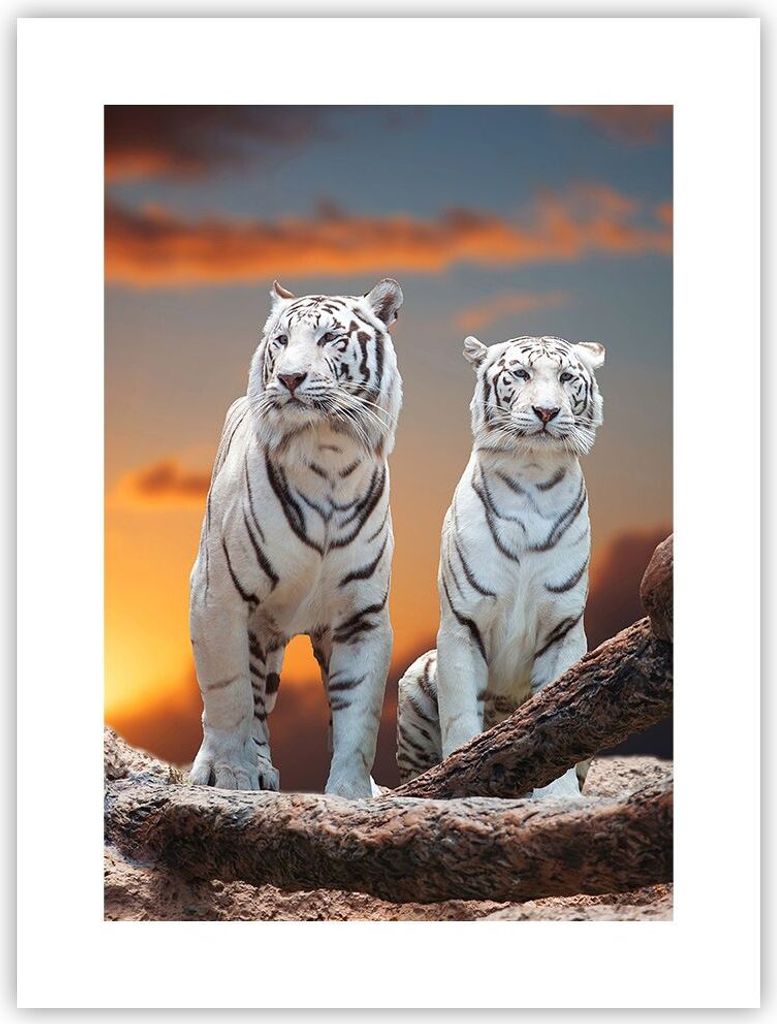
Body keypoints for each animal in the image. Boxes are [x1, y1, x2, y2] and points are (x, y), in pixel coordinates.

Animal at [189, 278, 403, 798]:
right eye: (281, 341)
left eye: (330, 338)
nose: (288, 379)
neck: (328, 454)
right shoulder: (216, 596)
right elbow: (228, 696)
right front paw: (230, 775)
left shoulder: (362, 615)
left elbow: (359, 716)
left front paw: (352, 794)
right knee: (249, 701)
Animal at [397, 333, 605, 798]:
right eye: (521, 373)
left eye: (567, 378)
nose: (547, 411)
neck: (532, 476)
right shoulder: (462, 623)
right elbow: (460, 716)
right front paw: (460, 780)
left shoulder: (563, 627)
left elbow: (559, 714)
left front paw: (559, 797)